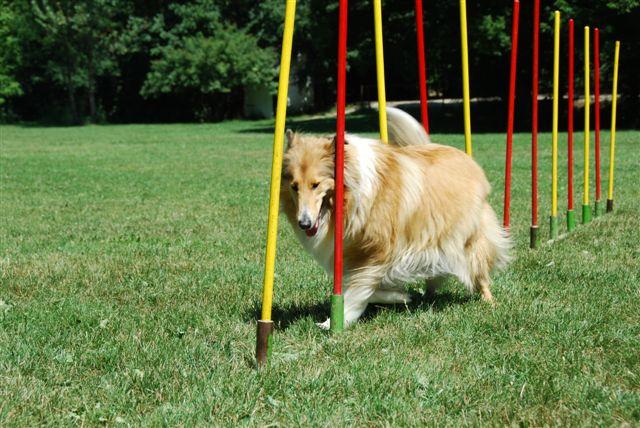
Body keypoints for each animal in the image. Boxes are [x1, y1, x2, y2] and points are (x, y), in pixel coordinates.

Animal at [280, 107, 510, 328]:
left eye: (316, 184)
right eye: (294, 186)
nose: (304, 223)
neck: (350, 196)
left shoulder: (380, 250)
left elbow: (357, 289)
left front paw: (335, 322)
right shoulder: (353, 254)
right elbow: (363, 286)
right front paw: (399, 296)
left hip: (466, 240)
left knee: (479, 269)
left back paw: (489, 302)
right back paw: (427, 295)